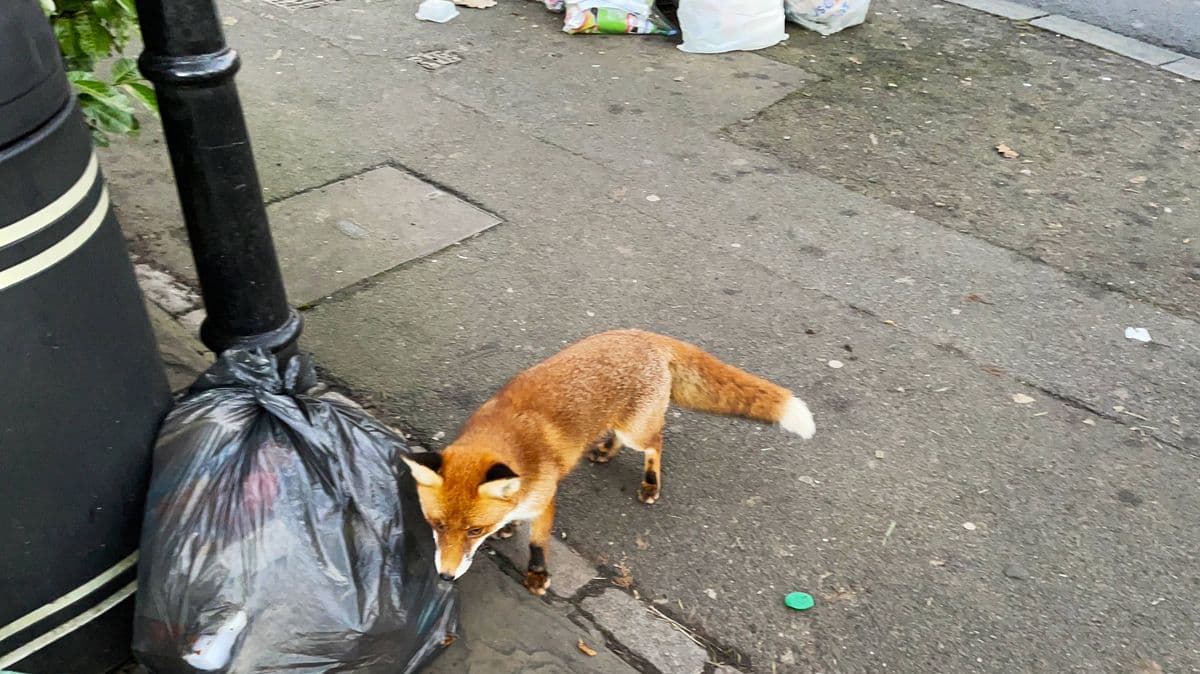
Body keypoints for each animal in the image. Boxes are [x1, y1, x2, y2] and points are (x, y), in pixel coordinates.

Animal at [401, 329, 816, 595]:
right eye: (437, 525)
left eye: (473, 531)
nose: (445, 577)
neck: (510, 441)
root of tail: (647, 335)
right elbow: (511, 519)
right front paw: (507, 529)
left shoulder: (545, 501)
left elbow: (537, 543)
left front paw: (537, 575)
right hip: (618, 419)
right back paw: (605, 450)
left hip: (638, 430)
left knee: (657, 442)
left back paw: (651, 483)